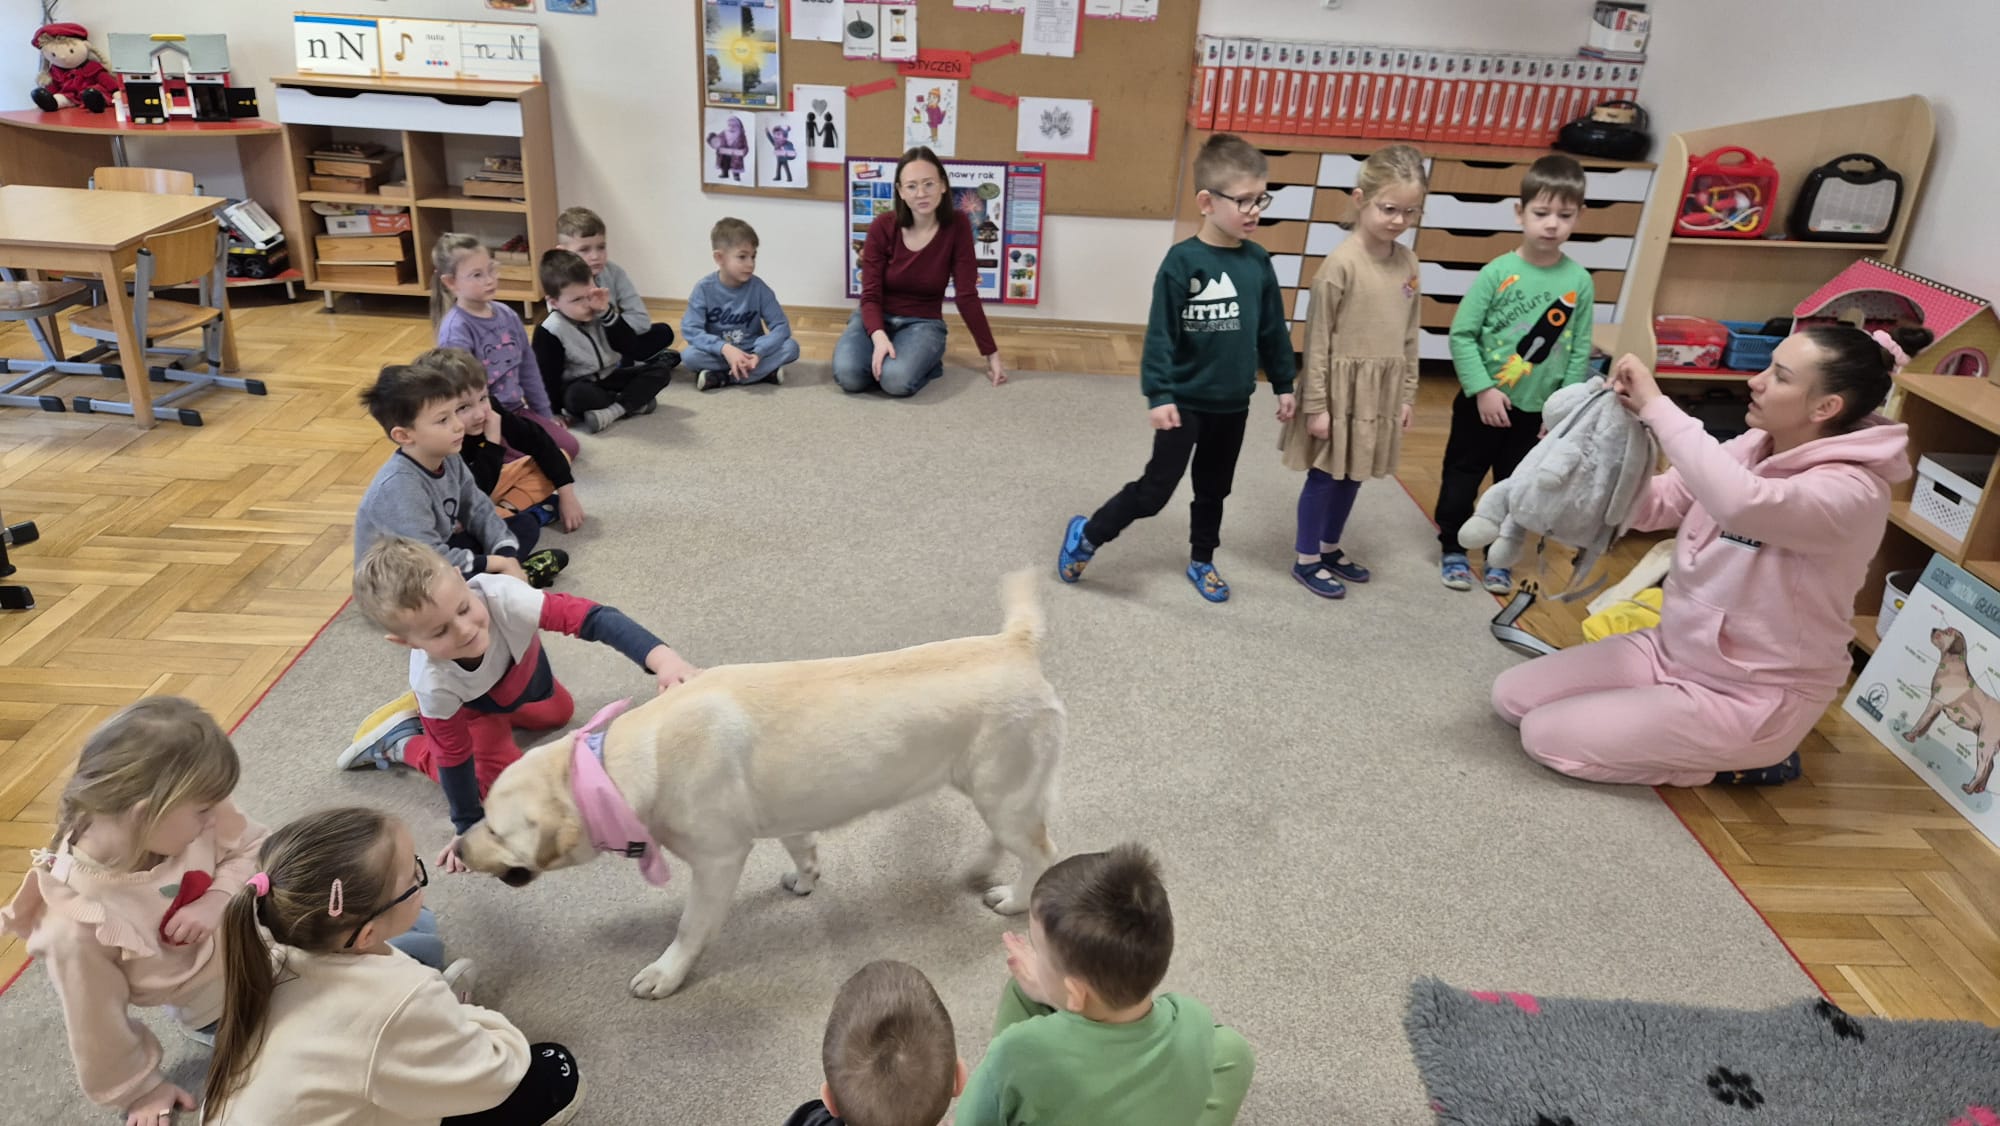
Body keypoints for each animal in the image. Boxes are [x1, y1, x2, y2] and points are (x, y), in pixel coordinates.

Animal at [457, 571, 1063, 998]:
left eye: (495, 828)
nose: (458, 848)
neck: (615, 766)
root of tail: (1015, 643)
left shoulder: (717, 862)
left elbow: (689, 928)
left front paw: (666, 973)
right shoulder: (788, 819)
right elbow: (803, 848)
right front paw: (806, 878)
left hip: (1004, 792)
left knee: (1040, 853)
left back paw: (1013, 897)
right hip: (992, 791)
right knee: (1009, 839)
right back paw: (982, 869)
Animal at [1904, 626, 2000, 794]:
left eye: (1947, 632)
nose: (1933, 628)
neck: (1951, 664)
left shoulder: (1935, 702)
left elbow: (1921, 720)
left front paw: (1909, 735)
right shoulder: (1937, 706)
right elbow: (1926, 724)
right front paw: (1917, 737)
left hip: (1985, 743)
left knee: (1982, 768)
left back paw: (1969, 788)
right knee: (1990, 767)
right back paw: (1979, 788)